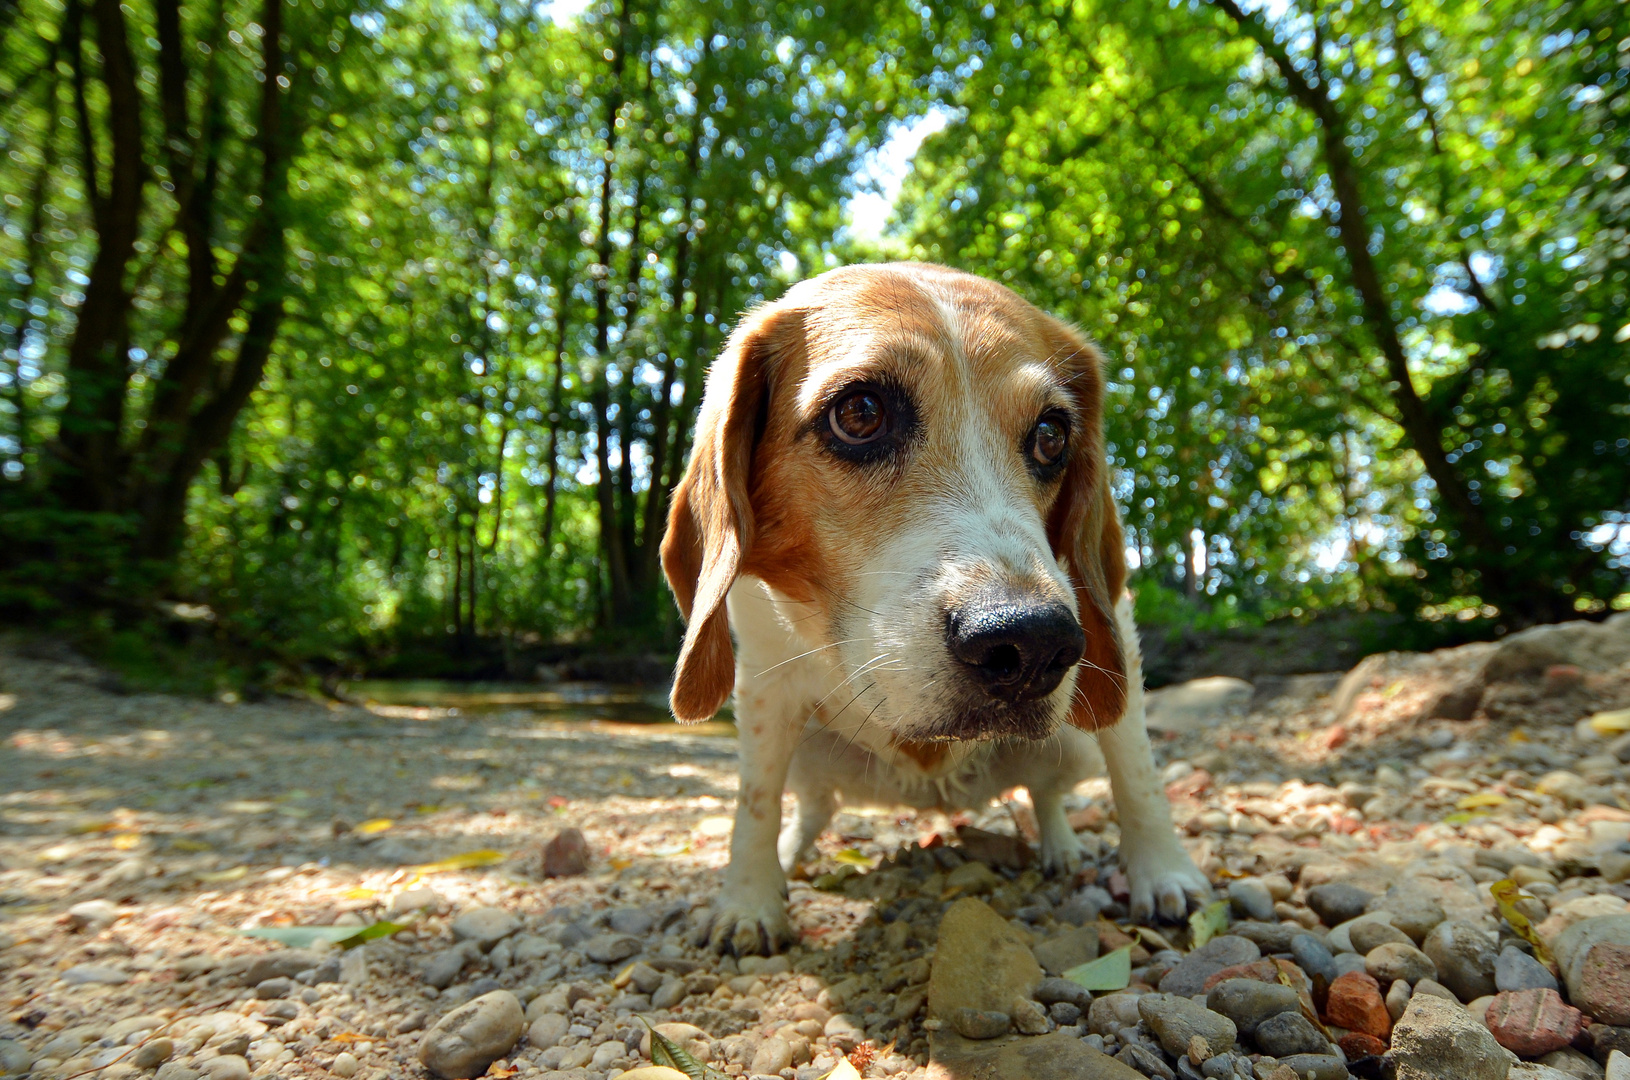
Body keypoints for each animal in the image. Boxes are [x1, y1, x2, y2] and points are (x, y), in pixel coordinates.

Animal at [655, 262, 1206, 957]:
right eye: (860, 413)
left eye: (1052, 435)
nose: (1032, 644)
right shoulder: (762, 684)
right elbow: (755, 804)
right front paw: (748, 901)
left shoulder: (1119, 644)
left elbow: (1138, 776)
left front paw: (1163, 871)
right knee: (812, 805)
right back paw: (790, 854)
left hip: (1073, 739)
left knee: (1048, 790)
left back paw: (1061, 846)